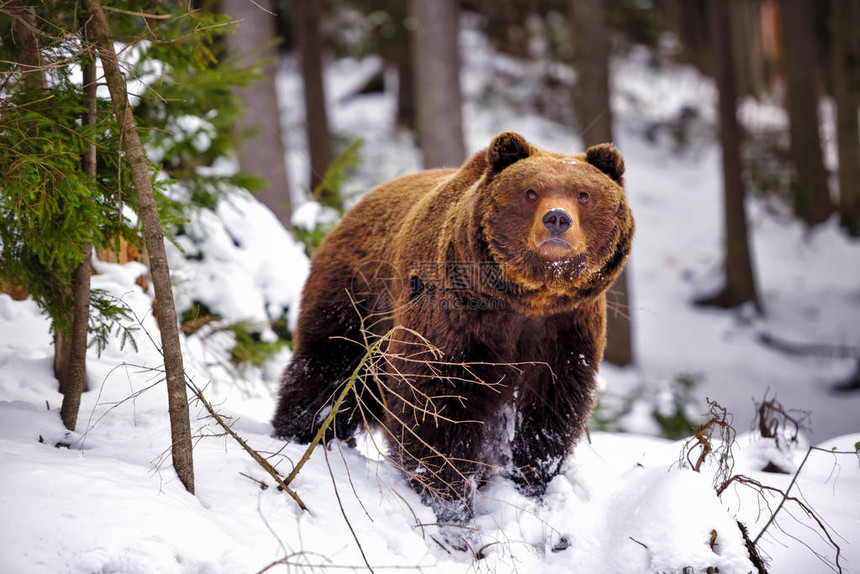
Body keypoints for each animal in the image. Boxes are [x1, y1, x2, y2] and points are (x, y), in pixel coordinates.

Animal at [272, 133, 636, 520]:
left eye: (583, 194)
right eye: (531, 192)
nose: (557, 219)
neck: (528, 299)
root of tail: (357, 205)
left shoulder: (566, 330)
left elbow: (548, 411)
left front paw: (532, 483)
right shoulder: (455, 317)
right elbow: (437, 402)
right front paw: (446, 496)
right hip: (357, 299)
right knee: (331, 367)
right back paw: (304, 432)